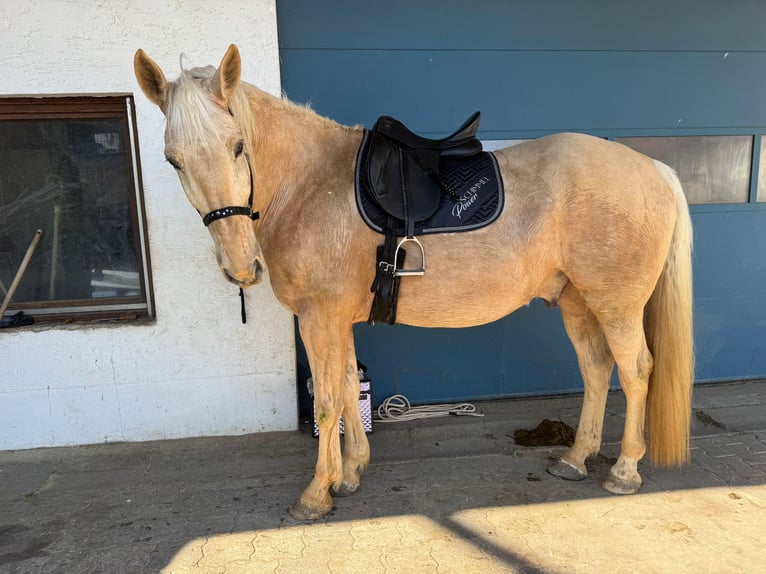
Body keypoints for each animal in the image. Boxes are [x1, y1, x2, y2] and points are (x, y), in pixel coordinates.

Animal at [134, 44, 694, 520]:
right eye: (173, 160)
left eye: (237, 146)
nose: (240, 266)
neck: (310, 184)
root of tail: (655, 169)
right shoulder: (338, 319)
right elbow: (345, 386)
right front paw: (351, 472)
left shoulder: (318, 319)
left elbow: (327, 402)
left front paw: (317, 493)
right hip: (577, 301)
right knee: (597, 369)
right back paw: (576, 458)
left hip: (617, 305)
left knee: (636, 370)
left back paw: (624, 470)